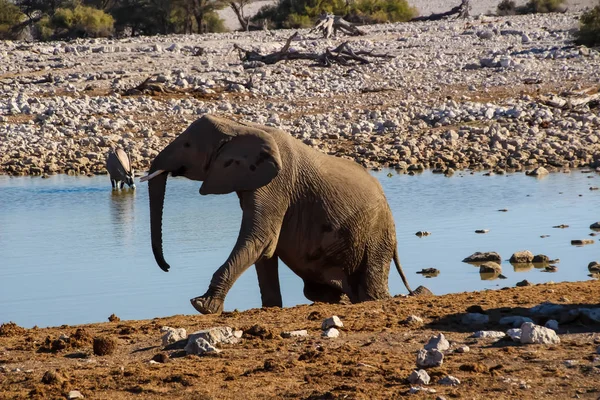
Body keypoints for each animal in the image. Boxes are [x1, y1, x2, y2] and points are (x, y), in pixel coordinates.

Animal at [141, 114, 412, 314]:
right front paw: (270, 307)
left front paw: (202, 305)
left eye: (187, 145)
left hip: (376, 237)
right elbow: (263, 248)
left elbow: (260, 239)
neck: (240, 126)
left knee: (370, 287)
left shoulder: (276, 184)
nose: (167, 267)